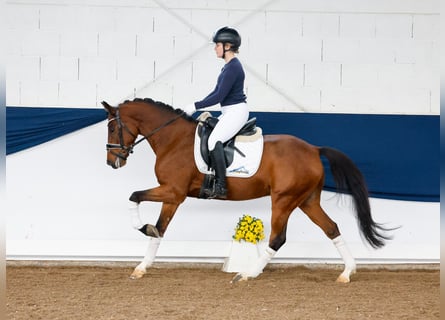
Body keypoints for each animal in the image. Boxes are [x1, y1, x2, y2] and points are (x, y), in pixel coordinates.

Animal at [102, 97, 390, 282]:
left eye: (113, 127)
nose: (112, 162)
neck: (173, 140)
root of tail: (313, 149)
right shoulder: (172, 197)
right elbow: (159, 230)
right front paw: (141, 267)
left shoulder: (173, 192)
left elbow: (134, 197)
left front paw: (142, 227)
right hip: (307, 200)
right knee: (331, 228)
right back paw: (347, 273)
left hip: (283, 200)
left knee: (277, 238)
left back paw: (248, 273)